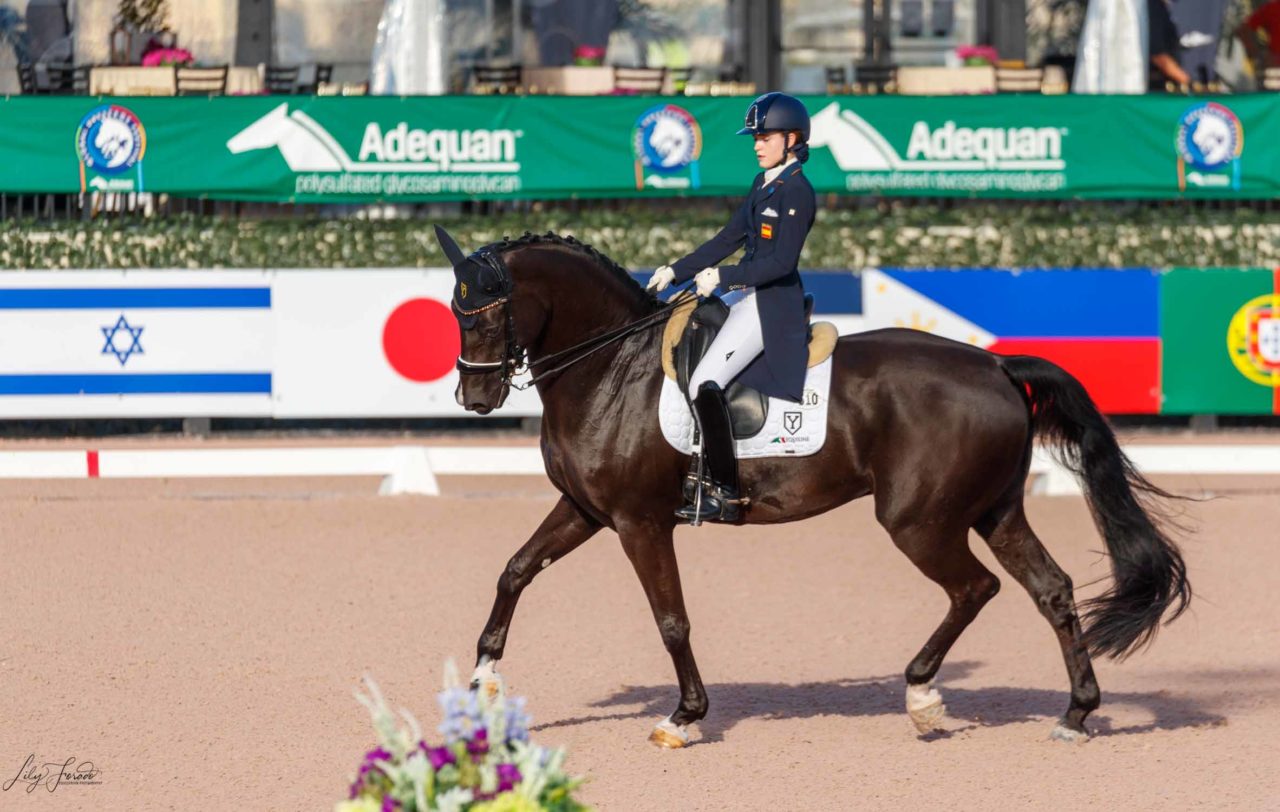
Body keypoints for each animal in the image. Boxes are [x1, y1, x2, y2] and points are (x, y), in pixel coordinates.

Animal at [440, 227, 1187, 747]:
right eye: (454, 311)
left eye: (487, 312)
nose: (474, 399)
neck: (610, 365)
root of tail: (995, 365)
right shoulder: (586, 509)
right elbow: (515, 570)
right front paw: (481, 681)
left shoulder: (638, 521)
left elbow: (671, 619)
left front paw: (684, 717)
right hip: (993, 511)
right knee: (1050, 590)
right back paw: (1075, 713)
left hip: (919, 520)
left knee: (975, 589)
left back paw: (922, 697)